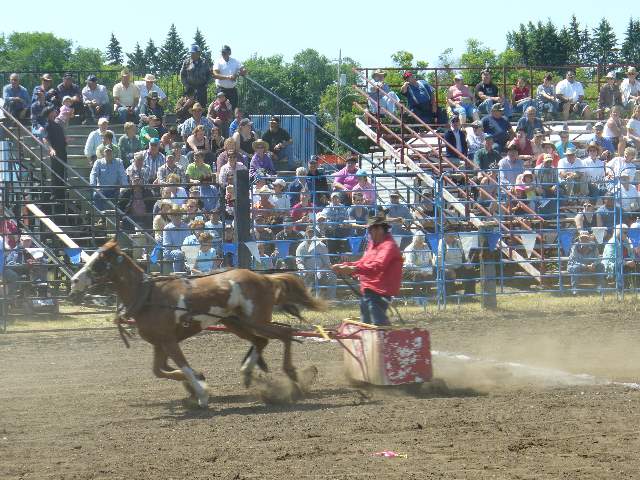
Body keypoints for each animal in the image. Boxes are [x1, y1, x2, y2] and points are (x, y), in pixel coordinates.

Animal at [69, 240, 324, 408]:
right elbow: (160, 371)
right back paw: (248, 372)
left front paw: (202, 393)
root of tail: (265, 278)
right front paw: (198, 382)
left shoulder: (169, 341)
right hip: (237, 323)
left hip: (256, 320)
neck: (149, 297)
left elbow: (182, 366)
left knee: (285, 333)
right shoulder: (159, 344)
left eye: (99, 262)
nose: (73, 281)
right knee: (263, 341)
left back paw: (293, 380)